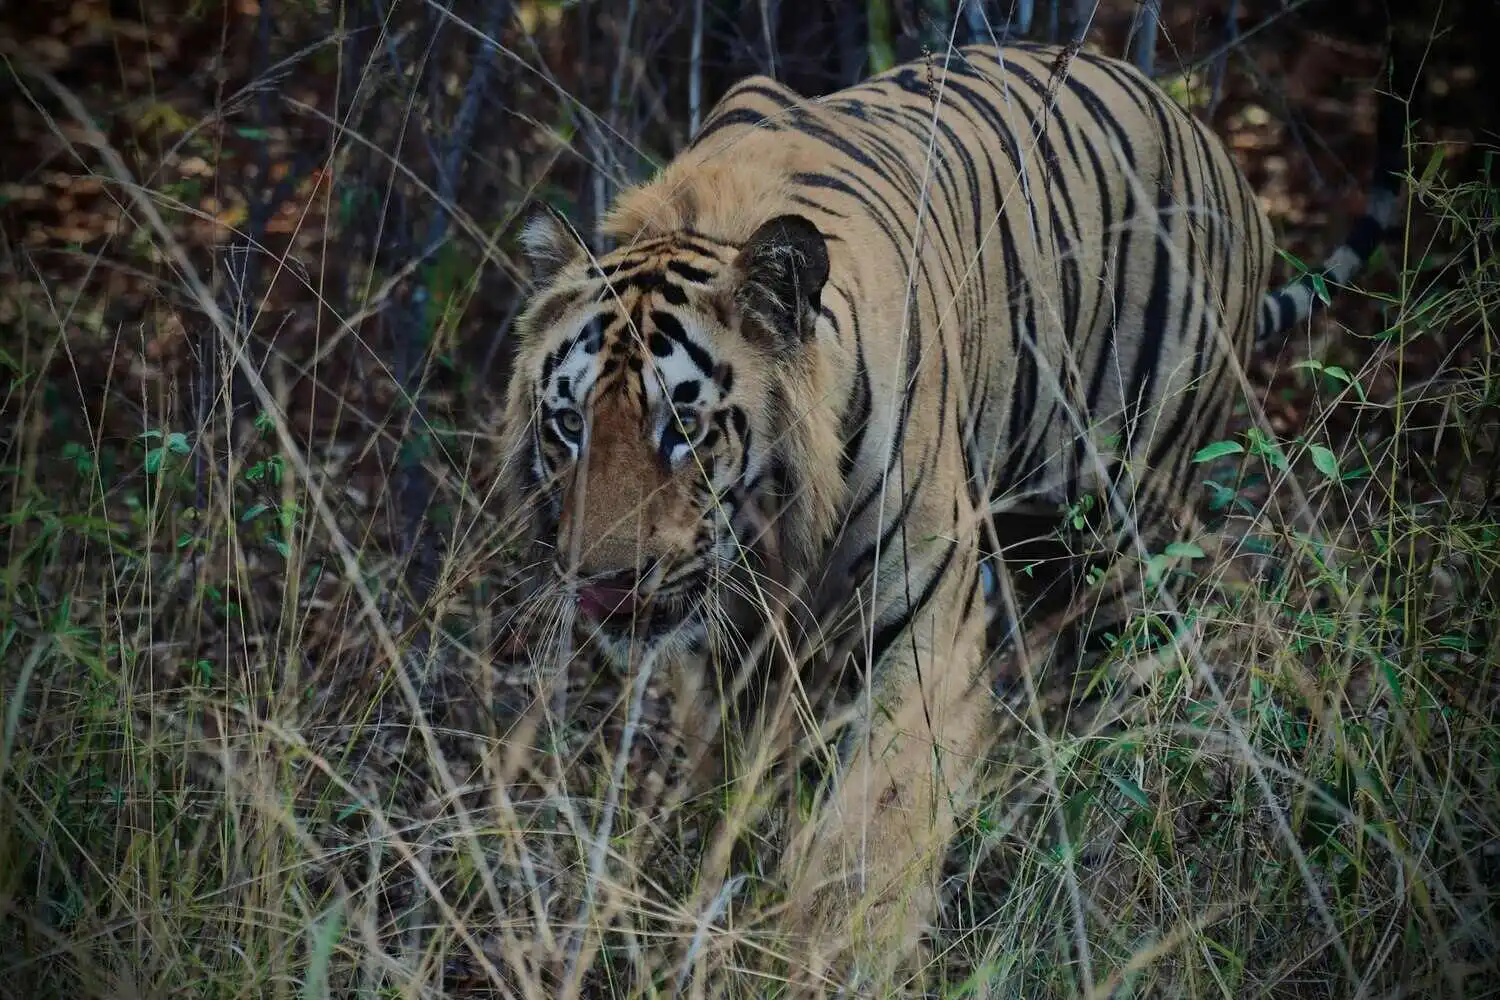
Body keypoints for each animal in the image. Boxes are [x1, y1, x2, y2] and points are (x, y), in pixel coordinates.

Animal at [495, 37, 1409, 977]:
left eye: (681, 428)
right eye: (568, 425)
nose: (602, 582)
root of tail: (1214, 144)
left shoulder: (926, 623)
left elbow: (875, 825)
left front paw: (836, 959)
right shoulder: (733, 652)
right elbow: (740, 790)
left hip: (1130, 533)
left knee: (1129, 713)